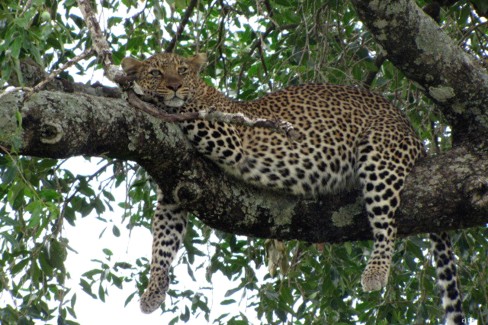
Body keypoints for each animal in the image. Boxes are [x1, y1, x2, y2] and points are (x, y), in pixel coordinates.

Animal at [122, 52, 466, 322]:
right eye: (156, 72)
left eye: (182, 71)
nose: (174, 86)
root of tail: (411, 129)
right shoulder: (175, 188)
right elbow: (162, 243)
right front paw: (153, 292)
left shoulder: (227, 136)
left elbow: (181, 109)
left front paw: (132, 90)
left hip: (380, 155)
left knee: (387, 222)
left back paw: (376, 273)